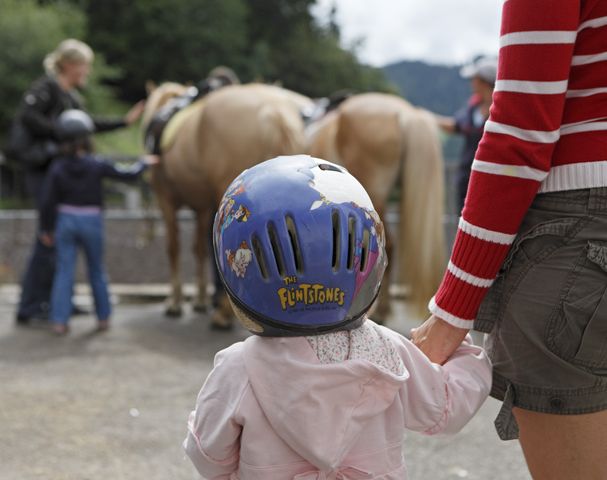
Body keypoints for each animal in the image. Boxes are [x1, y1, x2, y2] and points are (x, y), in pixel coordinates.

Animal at [142, 82, 312, 326]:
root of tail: (274, 111)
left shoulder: (166, 199)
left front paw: (175, 302)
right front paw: (200, 300)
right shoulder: (202, 208)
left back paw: (223, 314)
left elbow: (173, 248)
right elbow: (199, 249)